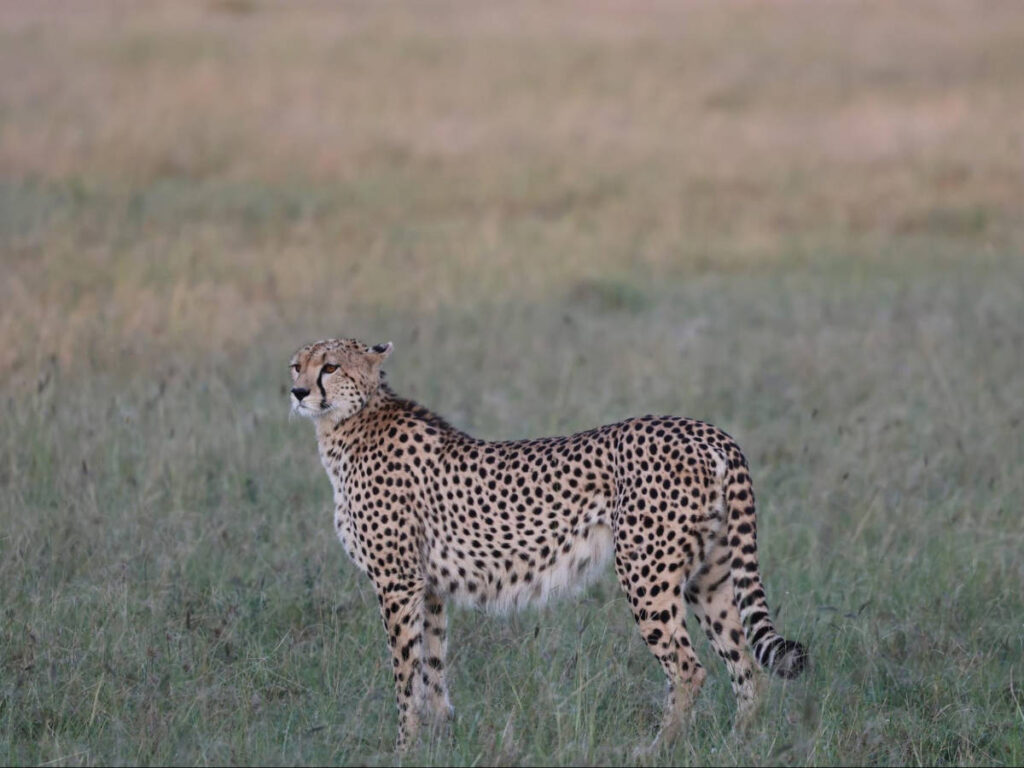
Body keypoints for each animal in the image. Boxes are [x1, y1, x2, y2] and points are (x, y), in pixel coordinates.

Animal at [289, 337, 807, 751]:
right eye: (297, 365)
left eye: (330, 366)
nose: (298, 392)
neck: (348, 424)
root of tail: (706, 430)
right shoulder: (427, 587)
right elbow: (431, 670)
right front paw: (439, 741)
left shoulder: (396, 582)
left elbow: (404, 676)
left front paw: (403, 748)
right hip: (709, 577)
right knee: (747, 667)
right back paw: (738, 745)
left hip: (646, 572)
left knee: (688, 669)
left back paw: (657, 750)